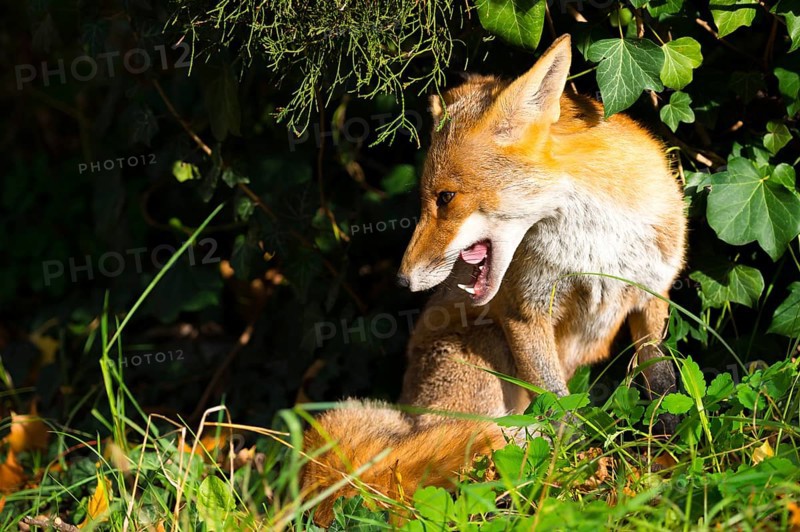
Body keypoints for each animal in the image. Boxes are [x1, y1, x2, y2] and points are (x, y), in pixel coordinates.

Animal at [301, 34, 686, 527]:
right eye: (424, 200)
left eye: (446, 198)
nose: (402, 281)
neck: (596, 244)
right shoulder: (525, 311)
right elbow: (562, 412)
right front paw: (579, 473)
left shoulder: (652, 293)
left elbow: (661, 381)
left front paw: (670, 446)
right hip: (488, 355)